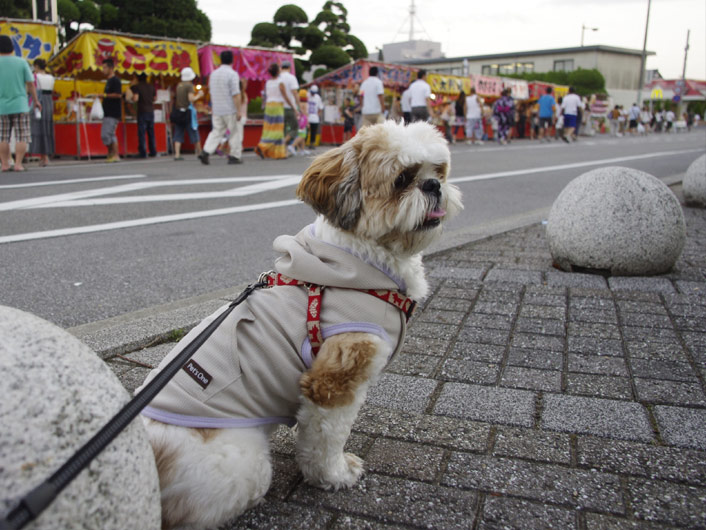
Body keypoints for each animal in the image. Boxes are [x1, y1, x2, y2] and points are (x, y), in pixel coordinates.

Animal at [137, 119, 462, 528]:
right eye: (403, 179)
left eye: (439, 170)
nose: (433, 186)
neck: (362, 263)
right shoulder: (333, 383)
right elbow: (327, 439)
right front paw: (335, 474)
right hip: (246, 463)